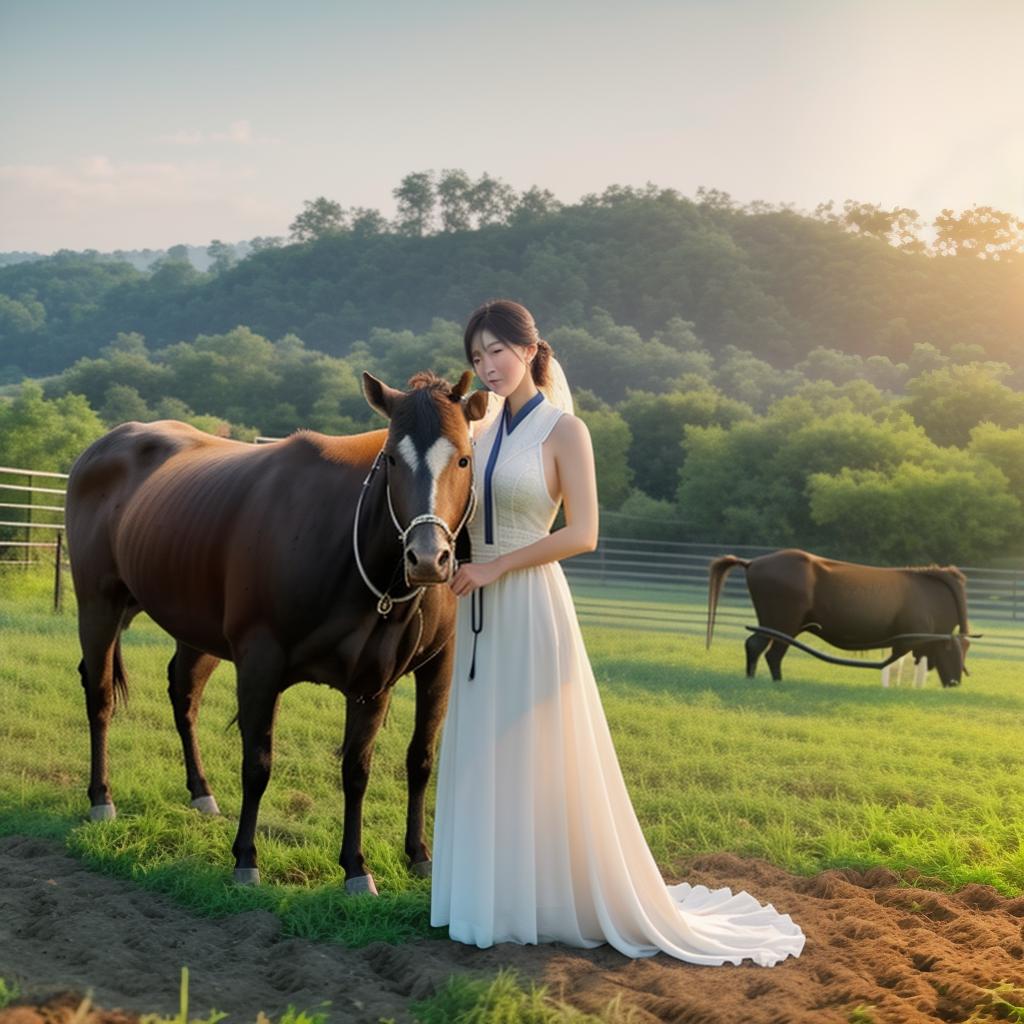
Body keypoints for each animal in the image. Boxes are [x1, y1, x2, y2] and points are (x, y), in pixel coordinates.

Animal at [66, 368, 489, 888]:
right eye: (391, 458)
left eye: (464, 458)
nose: (428, 557)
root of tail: (103, 445)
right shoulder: (260, 662)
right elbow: (258, 763)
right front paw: (246, 858)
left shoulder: (387, 676)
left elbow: (383, 765)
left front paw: (386, 861)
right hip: (99, 606)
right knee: (101, 695)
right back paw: (101, 797)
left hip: (195, 626)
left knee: (184, 696)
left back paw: (201, 792)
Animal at [708, 544, 970, 688]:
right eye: (951, 650)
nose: (955, 682)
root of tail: (753, 562)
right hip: (782, 623)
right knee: (762, 648)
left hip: (784, 625)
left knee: (765, 650)